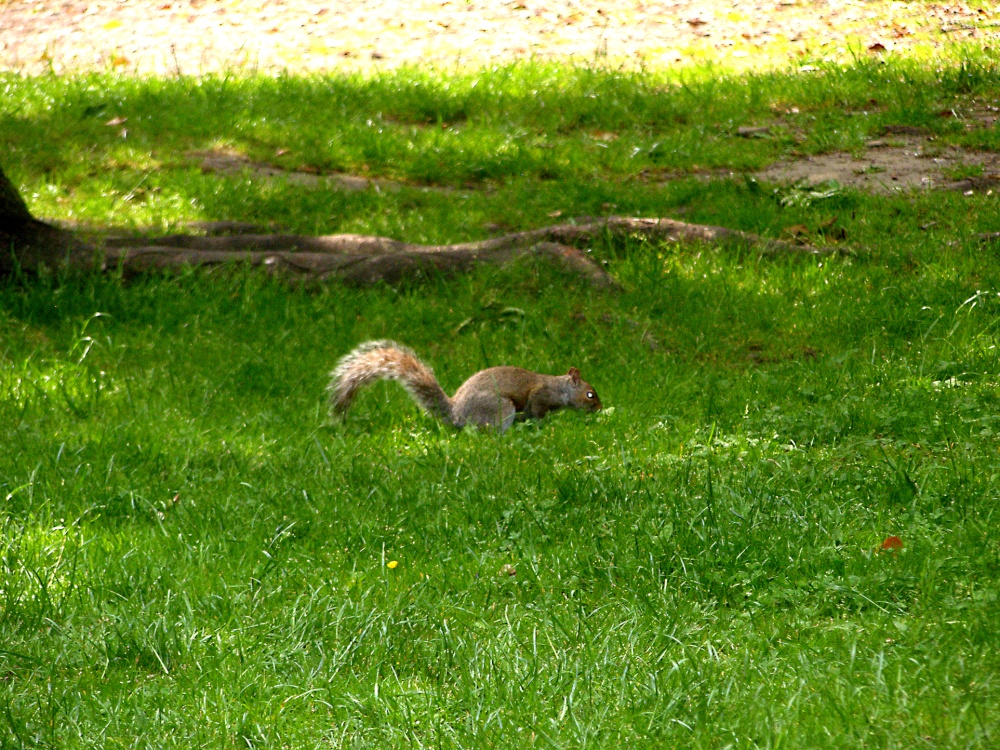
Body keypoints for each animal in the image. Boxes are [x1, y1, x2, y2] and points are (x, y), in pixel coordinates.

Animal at [329, 340, 602, 432]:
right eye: (590, 394)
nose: (599, 408)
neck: (560, 388)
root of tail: (456, 413)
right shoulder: (541, 396)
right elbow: (536, 411)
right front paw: (542, 426)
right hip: (501, 408)